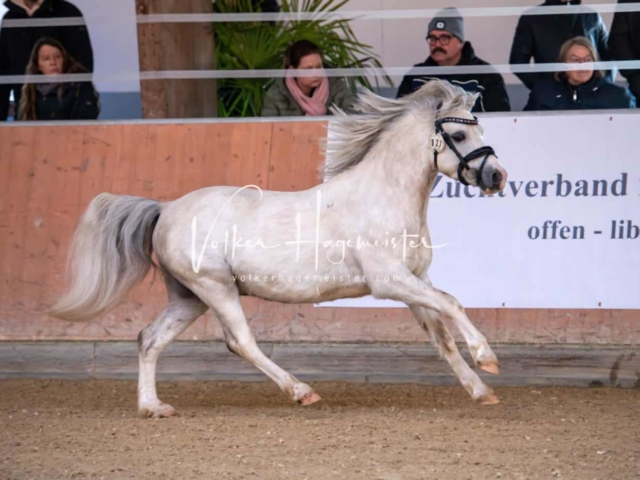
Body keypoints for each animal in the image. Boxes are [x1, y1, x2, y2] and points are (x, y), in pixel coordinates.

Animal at [50, 79, 508, 416]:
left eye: (482, 130)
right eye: (459, 133)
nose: (497, 177)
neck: (383, 196)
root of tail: (165, 209)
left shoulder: (415, 279)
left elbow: (441, 335)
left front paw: (480, 390)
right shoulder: (389, 281)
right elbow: (453, 303)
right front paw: (487, 358)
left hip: (188, 297)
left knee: (149, 339)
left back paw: (153, 407)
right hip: (216, 287)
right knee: (240, 342)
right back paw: (301, 391)